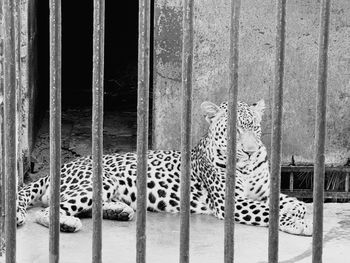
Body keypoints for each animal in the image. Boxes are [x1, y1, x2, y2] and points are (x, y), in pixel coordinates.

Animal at [16, 100, 312, 236]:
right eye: (234, 131)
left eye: (254, 128)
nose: (250, 151)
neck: (247, 168)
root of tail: (60, 168)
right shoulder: (232, 203)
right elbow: (272, 211)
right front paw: (301, 224)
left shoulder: (264, 192)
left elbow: (295, 202)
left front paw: (300, 212)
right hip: (100, 181)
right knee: (46, 211)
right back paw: (67, 223)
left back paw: (119, 210)